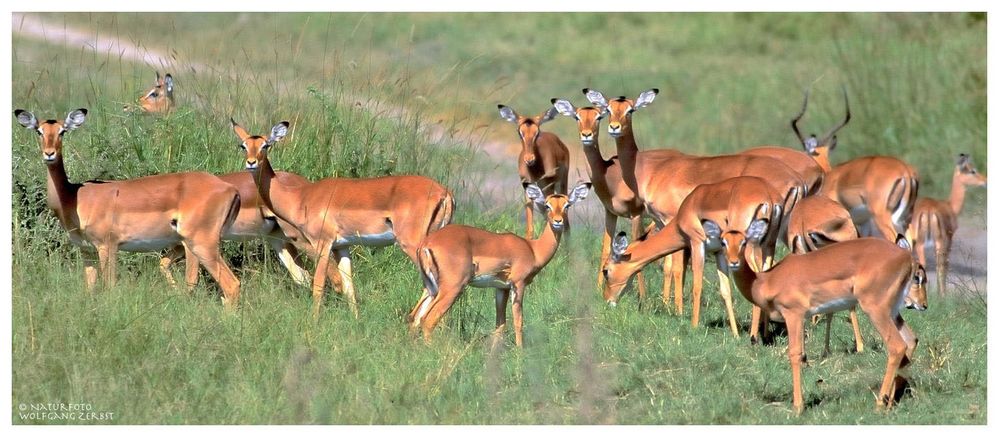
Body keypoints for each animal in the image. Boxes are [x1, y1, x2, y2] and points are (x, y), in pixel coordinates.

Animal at [16, 109, 243, 306]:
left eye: (62, 131)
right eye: (39, 130)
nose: (49, 154)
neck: (75, 197)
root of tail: (230, 188)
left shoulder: (107, 246)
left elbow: (109, 286)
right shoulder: (86, 251)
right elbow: (90, 289)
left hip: (200, 244)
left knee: (231, 285)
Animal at [410, 182, 588, 346]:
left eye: (567, 205)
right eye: (547, 205)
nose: (558, 221)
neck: (532, 249)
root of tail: (427, 243)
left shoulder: (501, 288)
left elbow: (500, 325)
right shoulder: (518, 284)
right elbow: (518, 321)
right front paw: (520, 352)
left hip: (432, 288)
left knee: (415, 318)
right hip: (452, 287)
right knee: (428, 319)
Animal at [494, 103, 568, 237]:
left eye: (537, 132)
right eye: (520, 132)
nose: (529, 159)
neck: (536, 171)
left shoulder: (549, 186)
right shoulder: (527, 186)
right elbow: (530, 226)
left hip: (560, 184)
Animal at [912, 152, 988, 292]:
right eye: (972, 171)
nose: (985, 181)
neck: (950, 205)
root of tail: (928, 211)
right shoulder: (949, 239)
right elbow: (945, 266)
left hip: (917, 241)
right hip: (935, 242)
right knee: (936, 265)